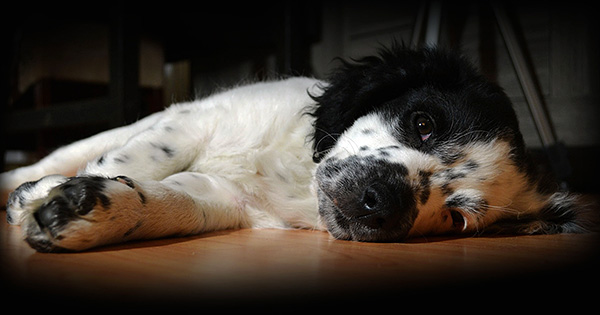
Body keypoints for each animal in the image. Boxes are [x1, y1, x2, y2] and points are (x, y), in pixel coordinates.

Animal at [0, 45, 596, 252]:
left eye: (457, 218)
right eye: (422, 123)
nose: (382, 202)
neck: (292, 172)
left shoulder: (224, 199)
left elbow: (170, 203)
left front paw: (93, 211)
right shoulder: (194, 121)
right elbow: (139, 158)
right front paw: (48, 193)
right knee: (65, 152)